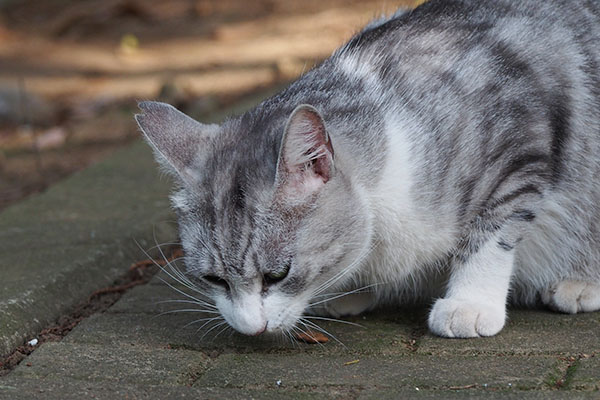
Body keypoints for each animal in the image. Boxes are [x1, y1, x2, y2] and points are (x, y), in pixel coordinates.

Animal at [135, 0, 600, 338]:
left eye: (277, 275)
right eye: (214, 279)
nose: (252, 328)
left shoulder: (520, 146)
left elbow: (491, 233)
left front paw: (469, 303)